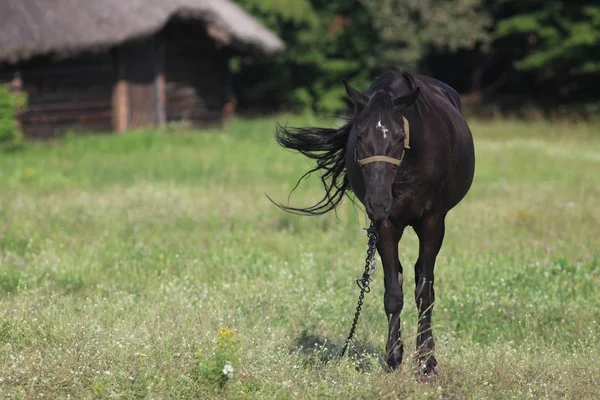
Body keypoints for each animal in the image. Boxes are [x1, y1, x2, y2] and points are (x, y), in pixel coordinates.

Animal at [272, 67, 474, 376]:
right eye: (359, 135)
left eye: (400, 136)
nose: (377, 202)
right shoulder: (386, 224)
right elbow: (393, 292)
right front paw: (393, 357)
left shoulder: (433, 222)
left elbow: (425, 292)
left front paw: (426, 362)